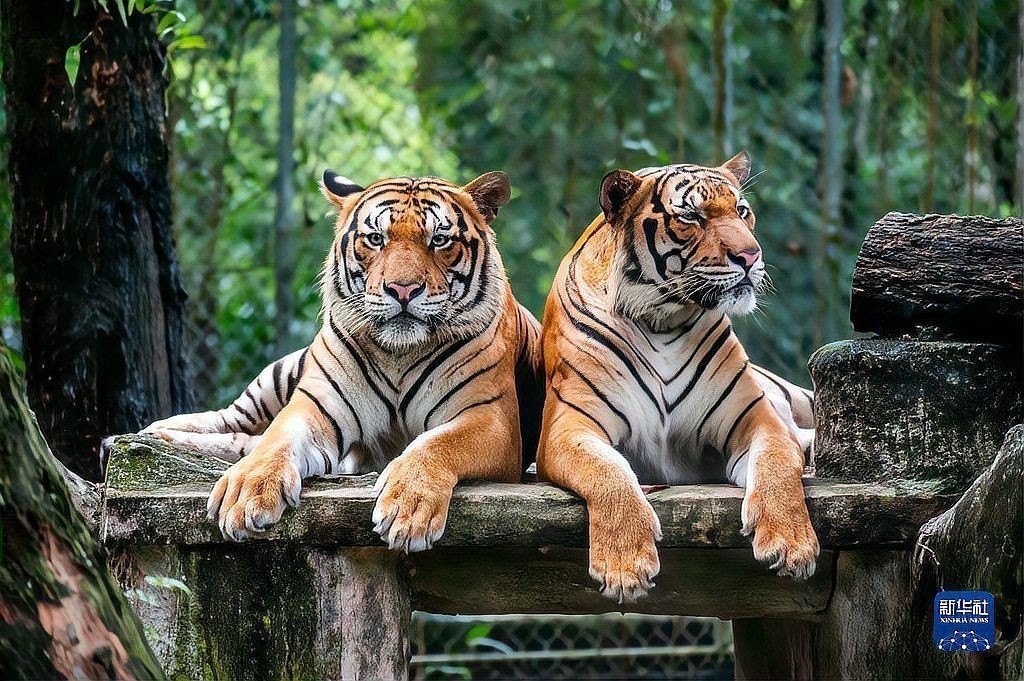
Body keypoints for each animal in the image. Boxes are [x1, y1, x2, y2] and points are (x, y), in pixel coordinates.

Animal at [138, 170, 544, 548]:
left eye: (439, 240)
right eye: (376, 239)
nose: (403, 290)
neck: (399, 353)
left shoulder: (490, 420)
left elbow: (435, 444)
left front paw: (407, 509)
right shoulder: (316, 405)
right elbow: (275, 441)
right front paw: (247, 491)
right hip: (280, 374)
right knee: (234, 422)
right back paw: (153, 432)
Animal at [536, 152, 819, 603]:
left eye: (742, 211)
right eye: (692, 215)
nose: (751, 256)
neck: (662, 322)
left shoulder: (757, 421)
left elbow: (777, 465)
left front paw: (792, 544)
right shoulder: (569, 429)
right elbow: (608, 471)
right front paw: (625, 566)